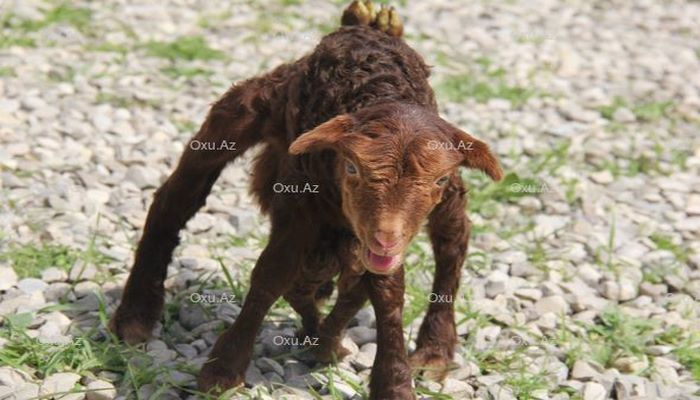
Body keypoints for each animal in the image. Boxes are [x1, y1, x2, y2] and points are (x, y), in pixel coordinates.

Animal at [109, 1, 504, 398]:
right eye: (351, 167)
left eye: (438, 178)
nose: (385, 239)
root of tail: (364, 29)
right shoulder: (302, 204)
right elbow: (272, 274)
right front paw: (224, 369)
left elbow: (385, 287)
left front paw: (389, 379)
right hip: (244, 112)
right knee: (175, 199)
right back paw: (136, 315)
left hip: (445, 201)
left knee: (452, 244)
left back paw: (433, 350)